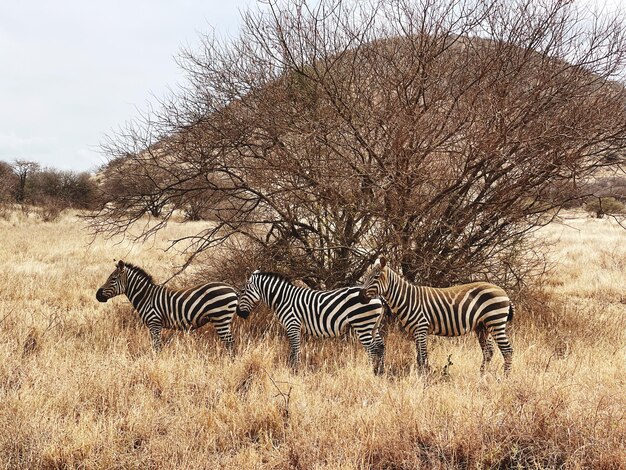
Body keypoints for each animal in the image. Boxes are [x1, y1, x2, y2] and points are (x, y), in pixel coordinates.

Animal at [95, 258, 239, 354]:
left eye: (113, 279)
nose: (97, 295)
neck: (146, 296)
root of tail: (232, 289)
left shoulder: (154, 323)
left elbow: (157, 347)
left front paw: (156, 362)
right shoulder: (153, 326)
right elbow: (156, 346)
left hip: (220, 319)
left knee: (229, 342)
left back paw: (228, 363)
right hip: (223, 320)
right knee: (230, 342)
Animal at [235, 272, 386, 374]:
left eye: (242, 291)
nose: (238, 313)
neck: (283, 299)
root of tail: (377, 296)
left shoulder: (293, 325)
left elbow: (295, 349)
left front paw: (294, 370)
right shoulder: (295, 328)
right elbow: (294, 350)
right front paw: (293, 368)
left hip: (362, 324)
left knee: (372, 349)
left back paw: (371, 371)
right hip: (373, 326)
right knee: (380, 346)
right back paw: (380, 372)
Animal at [358, 258, 516, 374]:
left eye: (376, 277)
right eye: (367, 277)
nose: (360, 296)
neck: (408, 299)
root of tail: (504, 293)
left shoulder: (421, 329)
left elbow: (423, 357)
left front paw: (424, 379)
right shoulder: (415, 332)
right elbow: (418, 358)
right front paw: (421, 377)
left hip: (495, 322)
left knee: (507, 350)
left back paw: (505, 378)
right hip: (483, 327)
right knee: (489, 352)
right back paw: (482, 376)